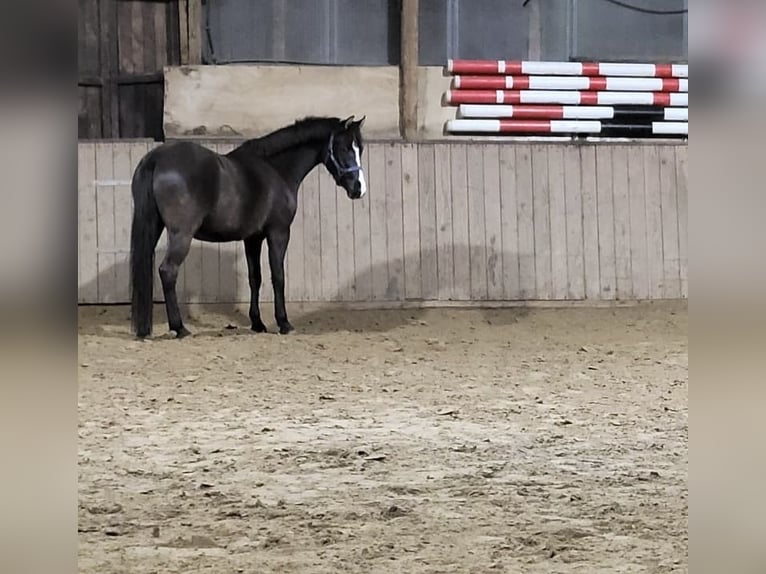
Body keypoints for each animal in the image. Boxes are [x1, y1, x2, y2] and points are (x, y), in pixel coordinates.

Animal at [129, 115, 367, 339]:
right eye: (344, 148)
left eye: (360, 149)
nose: (359, 188)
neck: (275, 170)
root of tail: (157, 158)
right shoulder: (278, 232)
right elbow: (278, 276)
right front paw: (284, 323)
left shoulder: (253, 238)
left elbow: (255, 278)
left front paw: (257, 323)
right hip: (182, 234)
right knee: (168, 271)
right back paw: (179, 328)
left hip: (155, 227)